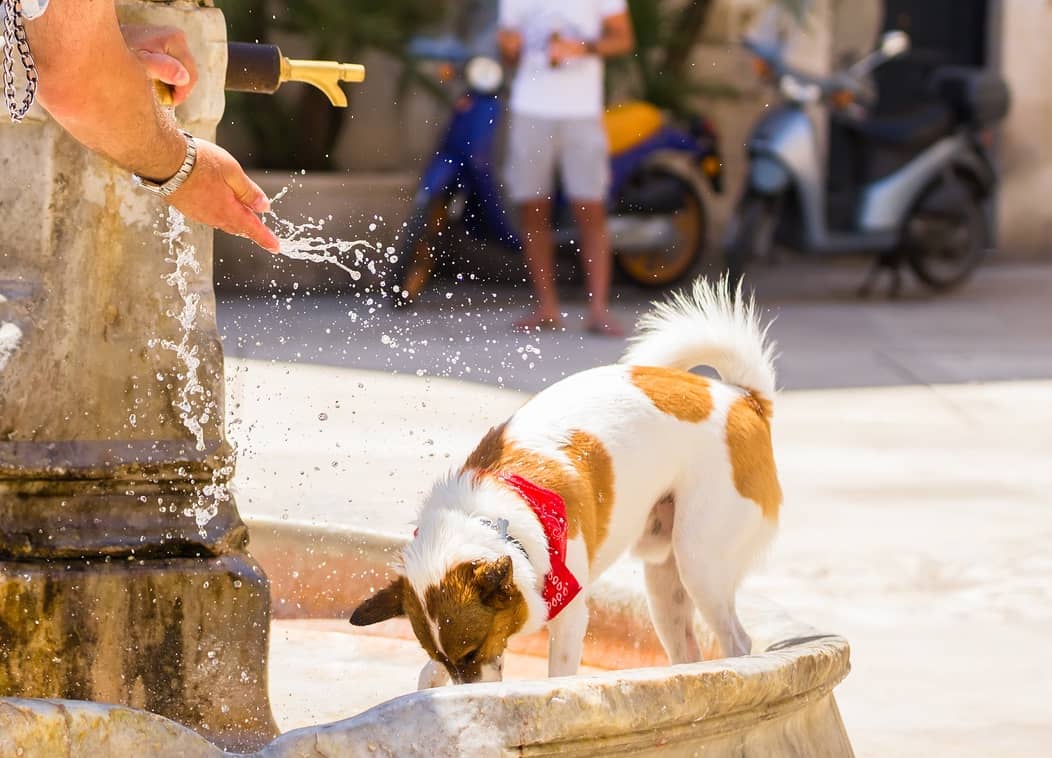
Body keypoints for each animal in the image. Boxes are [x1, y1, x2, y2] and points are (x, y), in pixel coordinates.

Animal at [353, 277, 782, 685]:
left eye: (472, 651)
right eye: (445, 657)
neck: (491, 519)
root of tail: (744, 400)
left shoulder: (571, 614)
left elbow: (558, 675)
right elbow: (428, 676)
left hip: (699, 559)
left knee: (737, 641)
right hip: (664, 584)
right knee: (687, 651)